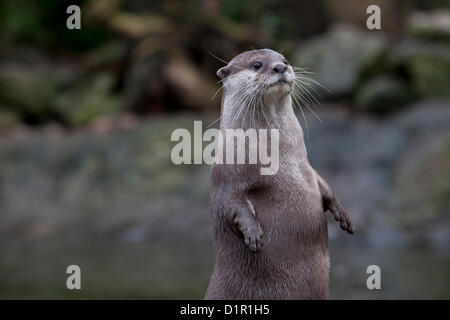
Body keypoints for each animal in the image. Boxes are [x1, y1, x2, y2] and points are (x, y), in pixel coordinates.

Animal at [205, 48, 356, 300]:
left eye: (284, 60)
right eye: (257, 64)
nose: (280, 67)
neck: (279, 160)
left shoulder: (307, 168)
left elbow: (323, 185)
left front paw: (342, 213)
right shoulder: (225, 178)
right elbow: (231, 205)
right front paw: (253, 234)